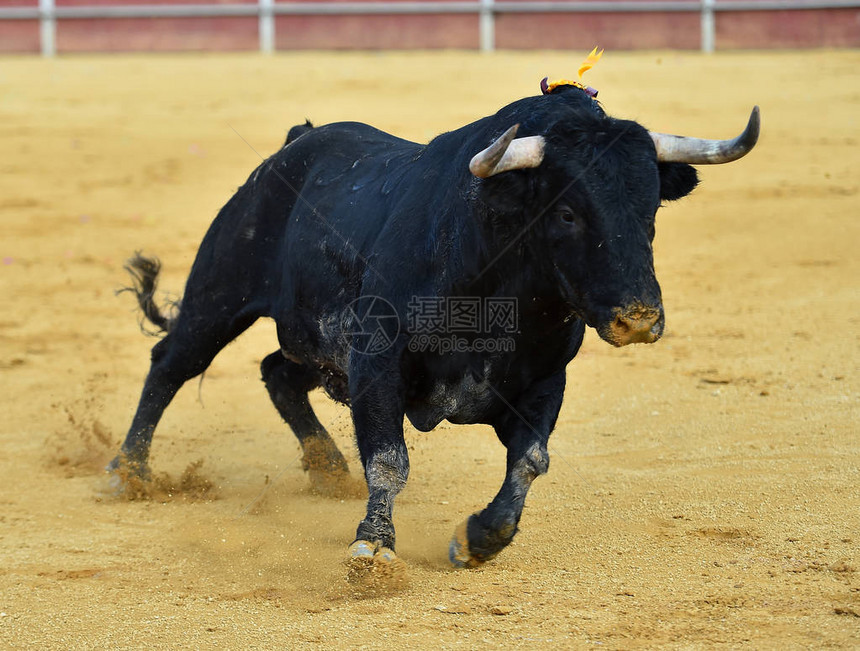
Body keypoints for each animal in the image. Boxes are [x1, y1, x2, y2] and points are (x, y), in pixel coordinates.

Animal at [109, 84, 760, 572]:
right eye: (567, 212)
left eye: (650, 210)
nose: (638, 317)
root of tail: (295, 143)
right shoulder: (376, 358)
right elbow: (388, 459)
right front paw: (373, 546)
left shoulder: (545, 379)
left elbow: (531, 459)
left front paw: (480, 539)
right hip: (221, 295)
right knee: (173, 362)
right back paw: (128, 473)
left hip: (315, 345)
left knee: (278, 373)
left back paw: (327, 469)